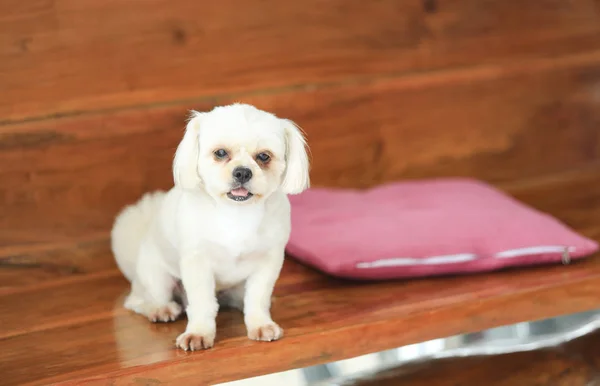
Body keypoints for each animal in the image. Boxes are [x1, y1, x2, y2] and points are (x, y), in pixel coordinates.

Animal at [109, 104, 312, 352]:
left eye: (264, 156)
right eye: (220, 153)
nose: (242, 171)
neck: (237, 214)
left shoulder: (268, 262)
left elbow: (257, 299)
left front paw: (260, 324)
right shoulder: (198, 264)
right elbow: (202, 303)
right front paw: (198, 333)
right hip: (157, 277)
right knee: (140, 301)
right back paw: (161, 309)